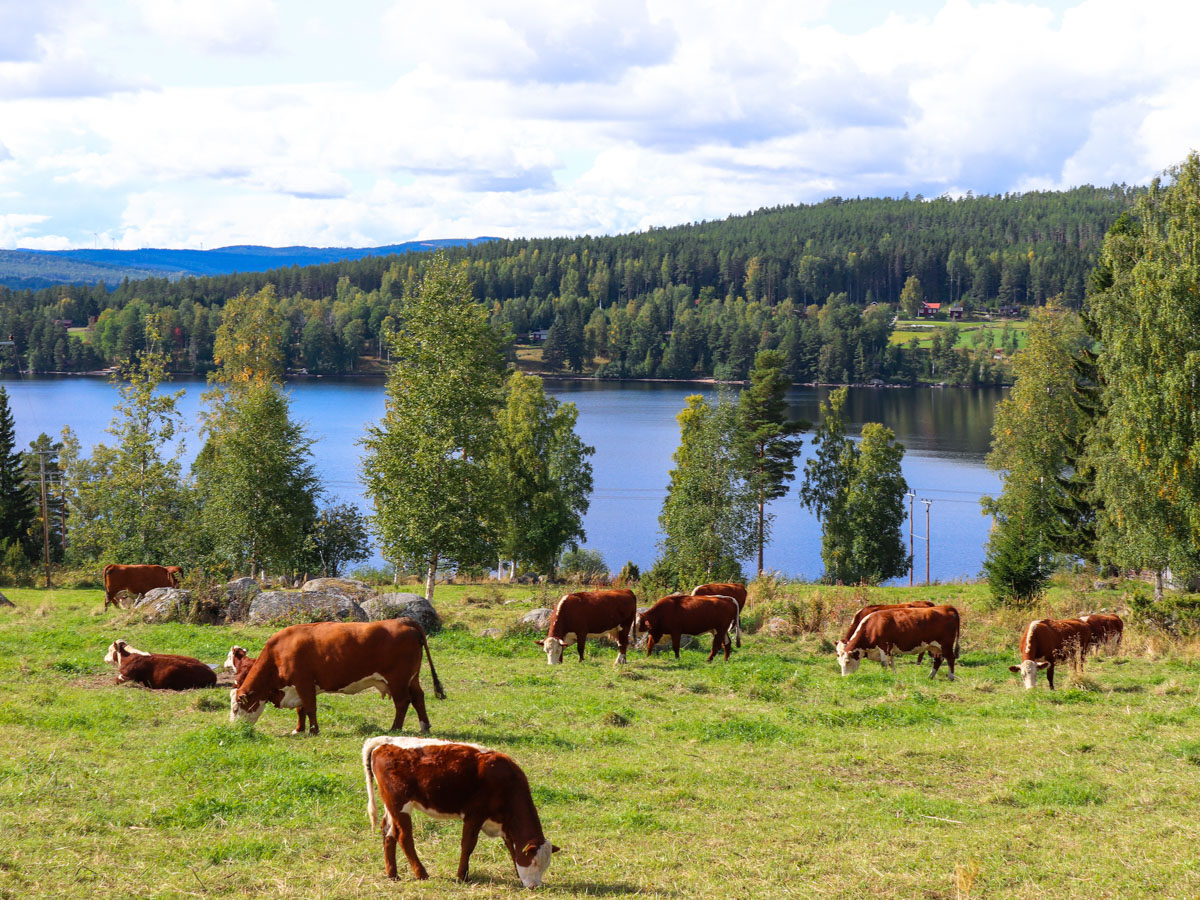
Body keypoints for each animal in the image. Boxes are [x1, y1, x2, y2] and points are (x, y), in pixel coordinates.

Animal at [230, 619, 445, 735]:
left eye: (235, 708)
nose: (235, 730)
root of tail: (403, 620)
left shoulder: (304, 683)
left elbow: (310, 708)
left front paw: (313, 731)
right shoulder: (300, 686)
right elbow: (301, 709)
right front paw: (299, 729)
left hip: (398, 679)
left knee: (402, 702)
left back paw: (394, 729)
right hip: (412, 678)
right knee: (418, 698)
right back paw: (424, 726)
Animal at [363, 736, 559, 887]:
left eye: (546, 865)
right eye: (533, 861)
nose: (534, 886)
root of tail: (385, 741)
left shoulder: (505, 824)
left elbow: (511, 847)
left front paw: (517, 874)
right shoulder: (474, 815)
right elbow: (468, 845)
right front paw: (462, 876)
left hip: (391, 806)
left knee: (388, 832)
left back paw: (393, 874)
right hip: (400, 804)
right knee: (404, 837)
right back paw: (421, 873)